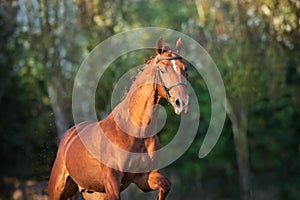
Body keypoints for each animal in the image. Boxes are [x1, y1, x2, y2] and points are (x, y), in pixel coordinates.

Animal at [48, 38, 190, 200]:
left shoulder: (143, 178)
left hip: (93, 193)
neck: (136, 132)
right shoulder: (112, 181)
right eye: (163, 70)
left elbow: (165, 185)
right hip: (59, 190)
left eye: (185, 70)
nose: (182, 102)